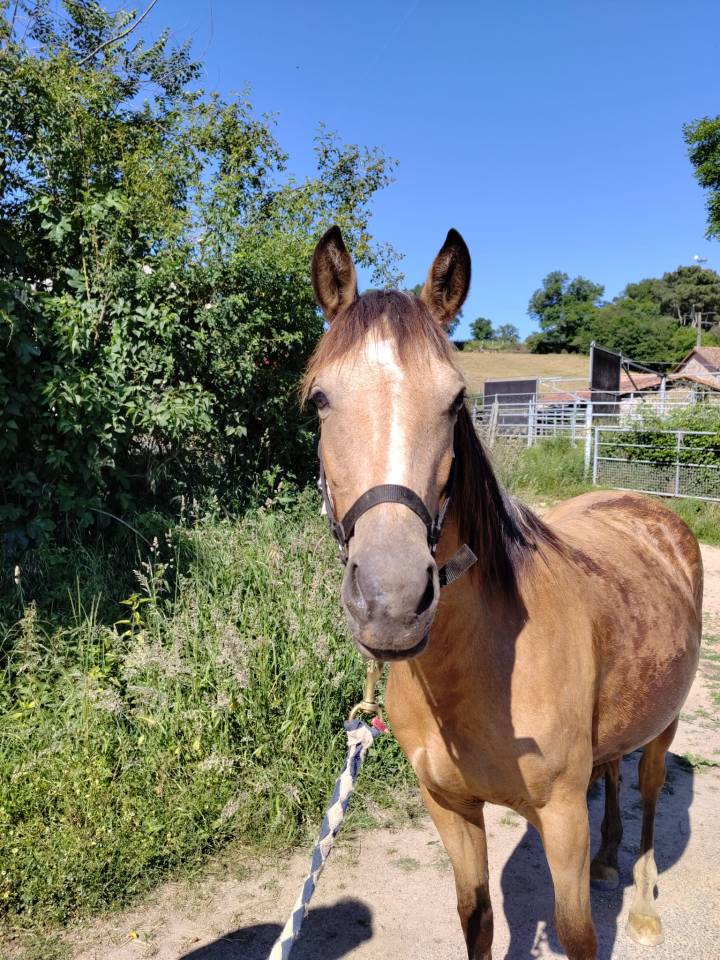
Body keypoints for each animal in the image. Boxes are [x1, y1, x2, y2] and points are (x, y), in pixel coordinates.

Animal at [303, 226, 702, 960]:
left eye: (457, 401)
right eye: (320, 399)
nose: (392, 601)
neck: (476, 668)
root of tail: (649, 510)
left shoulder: (561, 820)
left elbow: (577, 936)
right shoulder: (452, 810)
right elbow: (478, 918)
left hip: (664, 725)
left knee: (650, 792)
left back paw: (642, 904)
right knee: (613, 774)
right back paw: (609, 861)